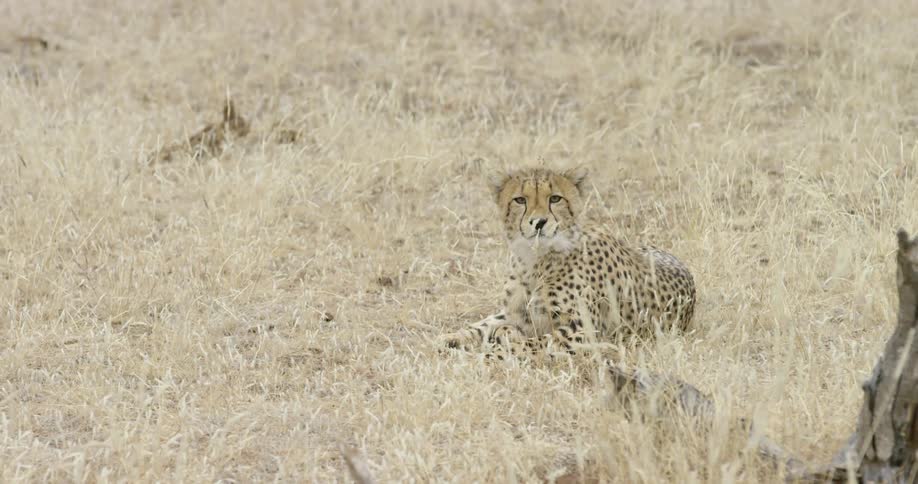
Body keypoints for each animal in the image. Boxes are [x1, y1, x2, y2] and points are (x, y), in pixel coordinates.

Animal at [437, 167, 696, 359]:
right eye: (520, 200)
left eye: (555, 199)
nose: (539, 222)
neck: (534, 260)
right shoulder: (516, 313)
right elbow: (486, 324)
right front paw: (452, 338)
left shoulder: (581, 329)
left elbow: (534, 344)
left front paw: (488, 356)